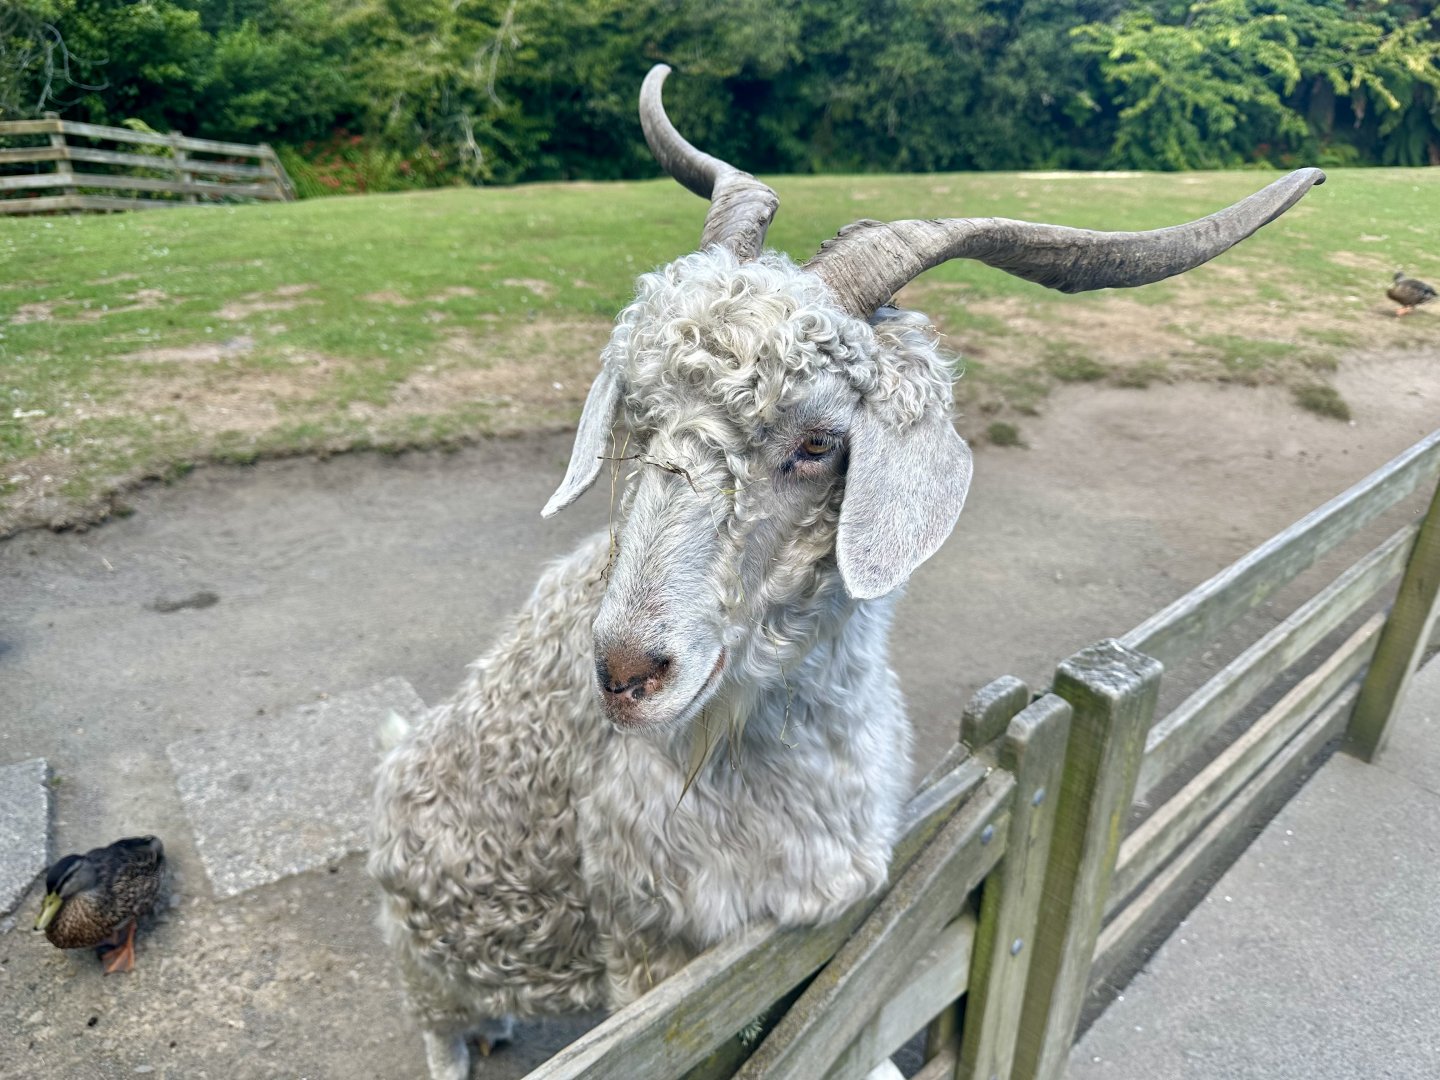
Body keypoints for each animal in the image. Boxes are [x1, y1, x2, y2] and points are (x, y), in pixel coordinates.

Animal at [369, 65, 1323, 1079]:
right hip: (429, 957)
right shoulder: (650, 943)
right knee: (437, 1021)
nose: (626, 672)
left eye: (820, 442)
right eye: (635, 412)